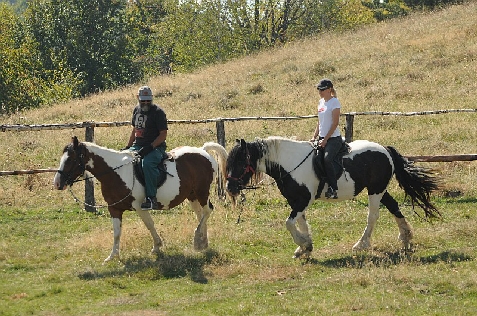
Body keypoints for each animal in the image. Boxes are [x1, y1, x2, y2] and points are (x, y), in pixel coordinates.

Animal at [53, 136, 228, 262]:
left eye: (70, 159)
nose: (57, 183)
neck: (116, 172)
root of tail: (202, 150)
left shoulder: (139, 207)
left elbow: (149, 225)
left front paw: (157, 246)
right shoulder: (114, 208)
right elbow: (117, 232)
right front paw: (113, 256)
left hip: (202, 192)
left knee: (207, 211)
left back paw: (198, 240)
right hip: (192, 195)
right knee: (201, 214)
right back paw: (203, 242)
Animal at [225, 137, 440, 258]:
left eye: (240, 162)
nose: (230, 188)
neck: (290, 163)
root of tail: (385, 149)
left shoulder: (303, 200)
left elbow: (289, 223)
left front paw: (303, 245)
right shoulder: (296, 201)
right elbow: (300, 223)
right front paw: (306, 247)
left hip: (375, 190)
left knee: (373, 216)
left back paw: (361, 244)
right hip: (379, 189)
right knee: (393, 206)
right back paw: (405, 237)